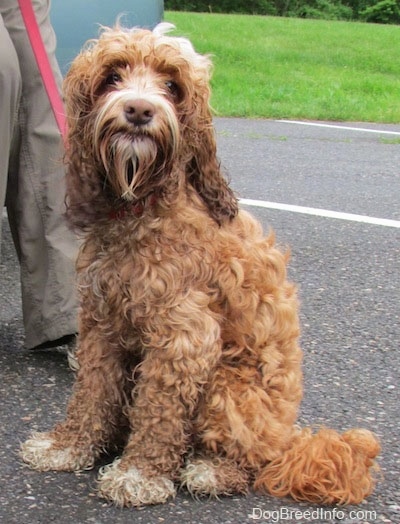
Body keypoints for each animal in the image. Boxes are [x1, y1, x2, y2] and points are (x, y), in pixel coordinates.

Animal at [20, 24, 380, 508]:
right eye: (112, 76)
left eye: (172, 85)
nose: (139, 110)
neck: (141, 209)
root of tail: (290, 440)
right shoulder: (100, 324)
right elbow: (91, 393)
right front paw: (69, 446)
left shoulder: (183, 337)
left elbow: (159, 411)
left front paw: (140, 474)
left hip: (229, 390)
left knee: (245, 462)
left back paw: (209, 470)